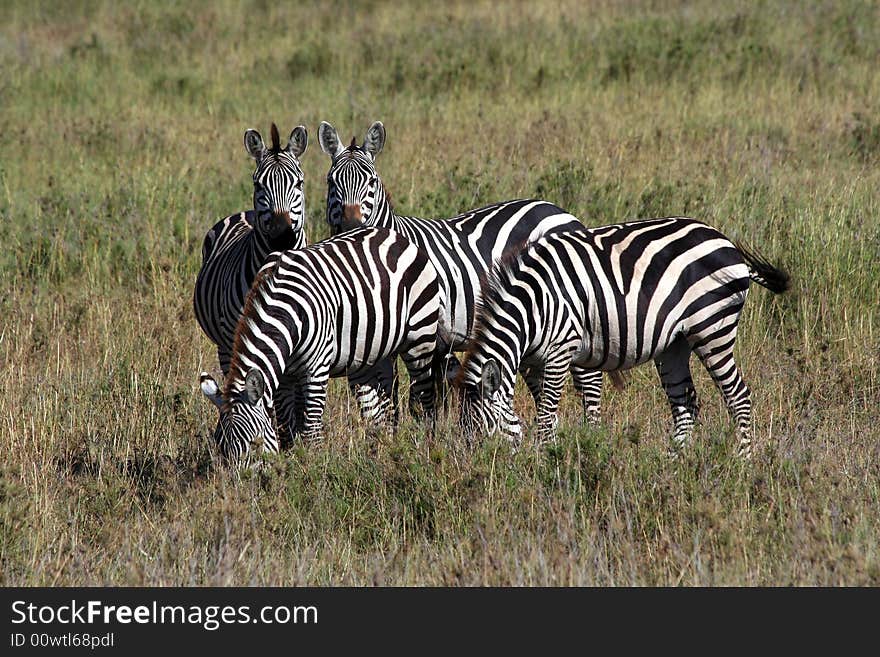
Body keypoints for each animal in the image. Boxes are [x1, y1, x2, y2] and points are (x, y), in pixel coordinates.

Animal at [203, 228, 444, 464]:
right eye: (220, 448)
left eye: (255, 444)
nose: (239, 478)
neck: (284, 311)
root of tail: (394, 235)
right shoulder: (283, 376)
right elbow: (285, 428)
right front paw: (289, 466)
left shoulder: (316, 369)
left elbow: (311, 430)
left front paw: (314, 468)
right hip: (372, 355)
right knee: (379, 412)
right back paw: (380, 455)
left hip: (420, 337)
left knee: (423, 399)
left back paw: (426, 449)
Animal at [318, 120, 612, 420]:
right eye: (331, 182)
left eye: (371, 182)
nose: (352, 225)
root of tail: (560, 211)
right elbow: (389, 398)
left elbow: (417, 398)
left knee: (589, 380)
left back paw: (591, 427)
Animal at [460, 217, 792, 456]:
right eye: (468, 440)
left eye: (485, 436)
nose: (482, 475)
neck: (533, 306)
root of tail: (726, 242)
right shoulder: (532, 362)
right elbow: (547, 414)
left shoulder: (560, 350)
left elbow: (545, 416)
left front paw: (546, 461)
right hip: (675, 344)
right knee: (686, 404)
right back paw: (674, 466)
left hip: (712, 329)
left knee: (738, 395)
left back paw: (742, 460)